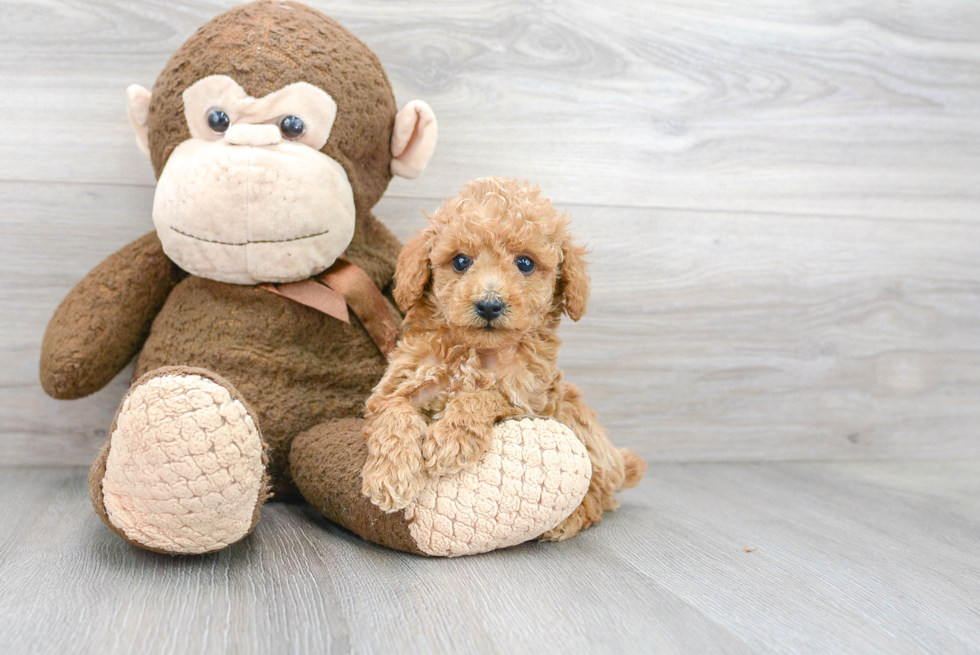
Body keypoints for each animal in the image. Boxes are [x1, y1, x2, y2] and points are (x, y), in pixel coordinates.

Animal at [360, 177, 644, 540]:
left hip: (579, 425)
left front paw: (450, 438)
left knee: (598, 495)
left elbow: (484, 396)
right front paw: (391, 476)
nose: (489, 305)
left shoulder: (529, 402)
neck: (477, 352)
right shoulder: (396, 385)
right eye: (460, 262)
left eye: (525, 263)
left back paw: (567, 520)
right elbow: (394, 413)